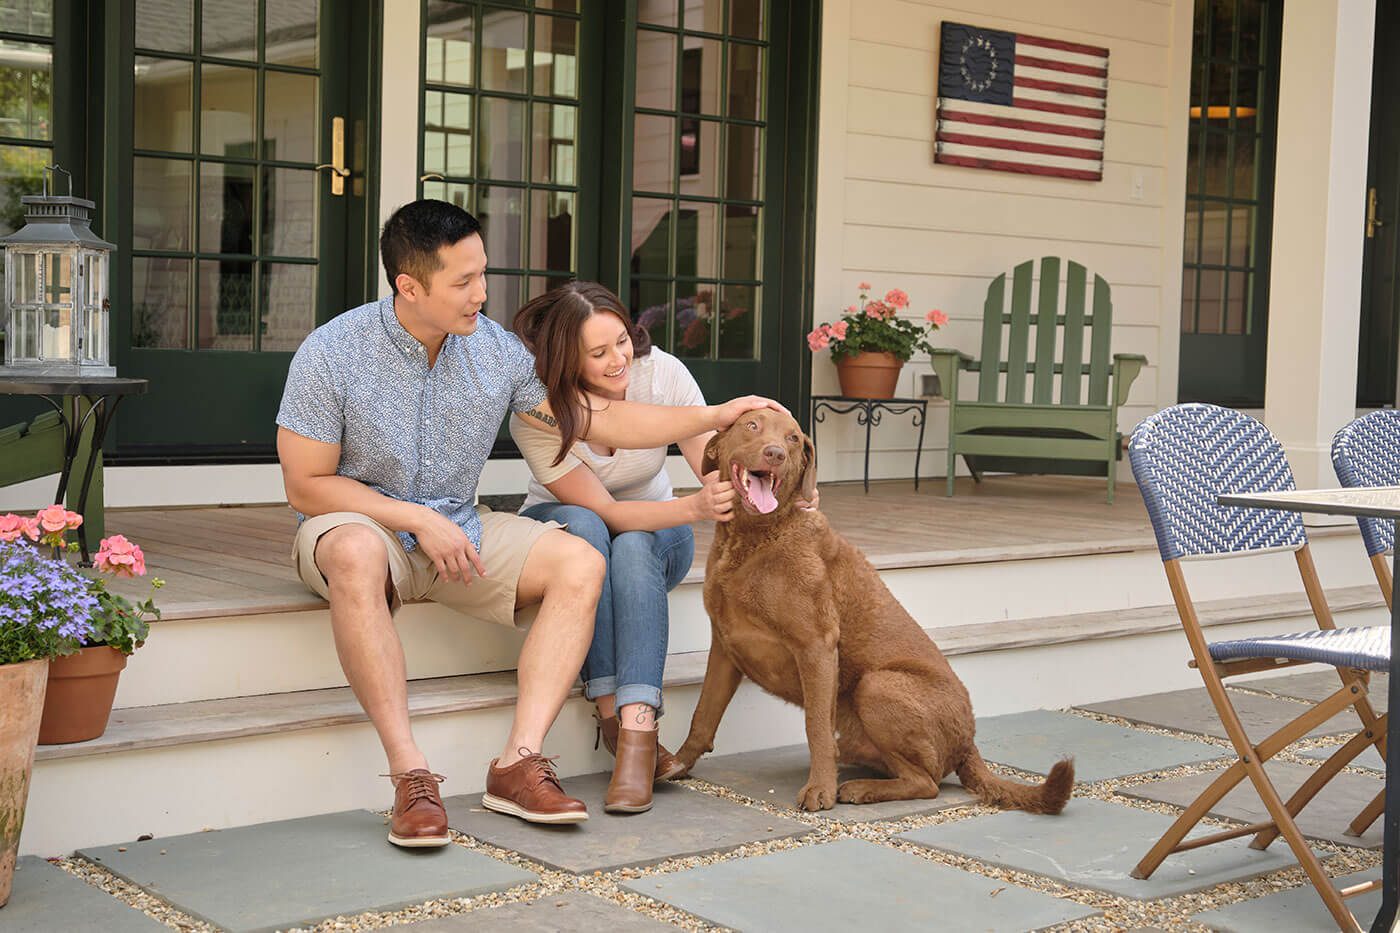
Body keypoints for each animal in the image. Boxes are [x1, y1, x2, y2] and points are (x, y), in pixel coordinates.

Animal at [672, 406, 1075, 806]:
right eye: (751, 425)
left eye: (793, 438)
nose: (775, 454)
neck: (754, 538)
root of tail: (969, 744)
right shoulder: (725, 645)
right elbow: (702, 716)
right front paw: (676, 765)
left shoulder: (816, 646)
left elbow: (815, 727)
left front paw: (819, 789)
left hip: (877, 685)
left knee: (926, 782)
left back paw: (858, 788)